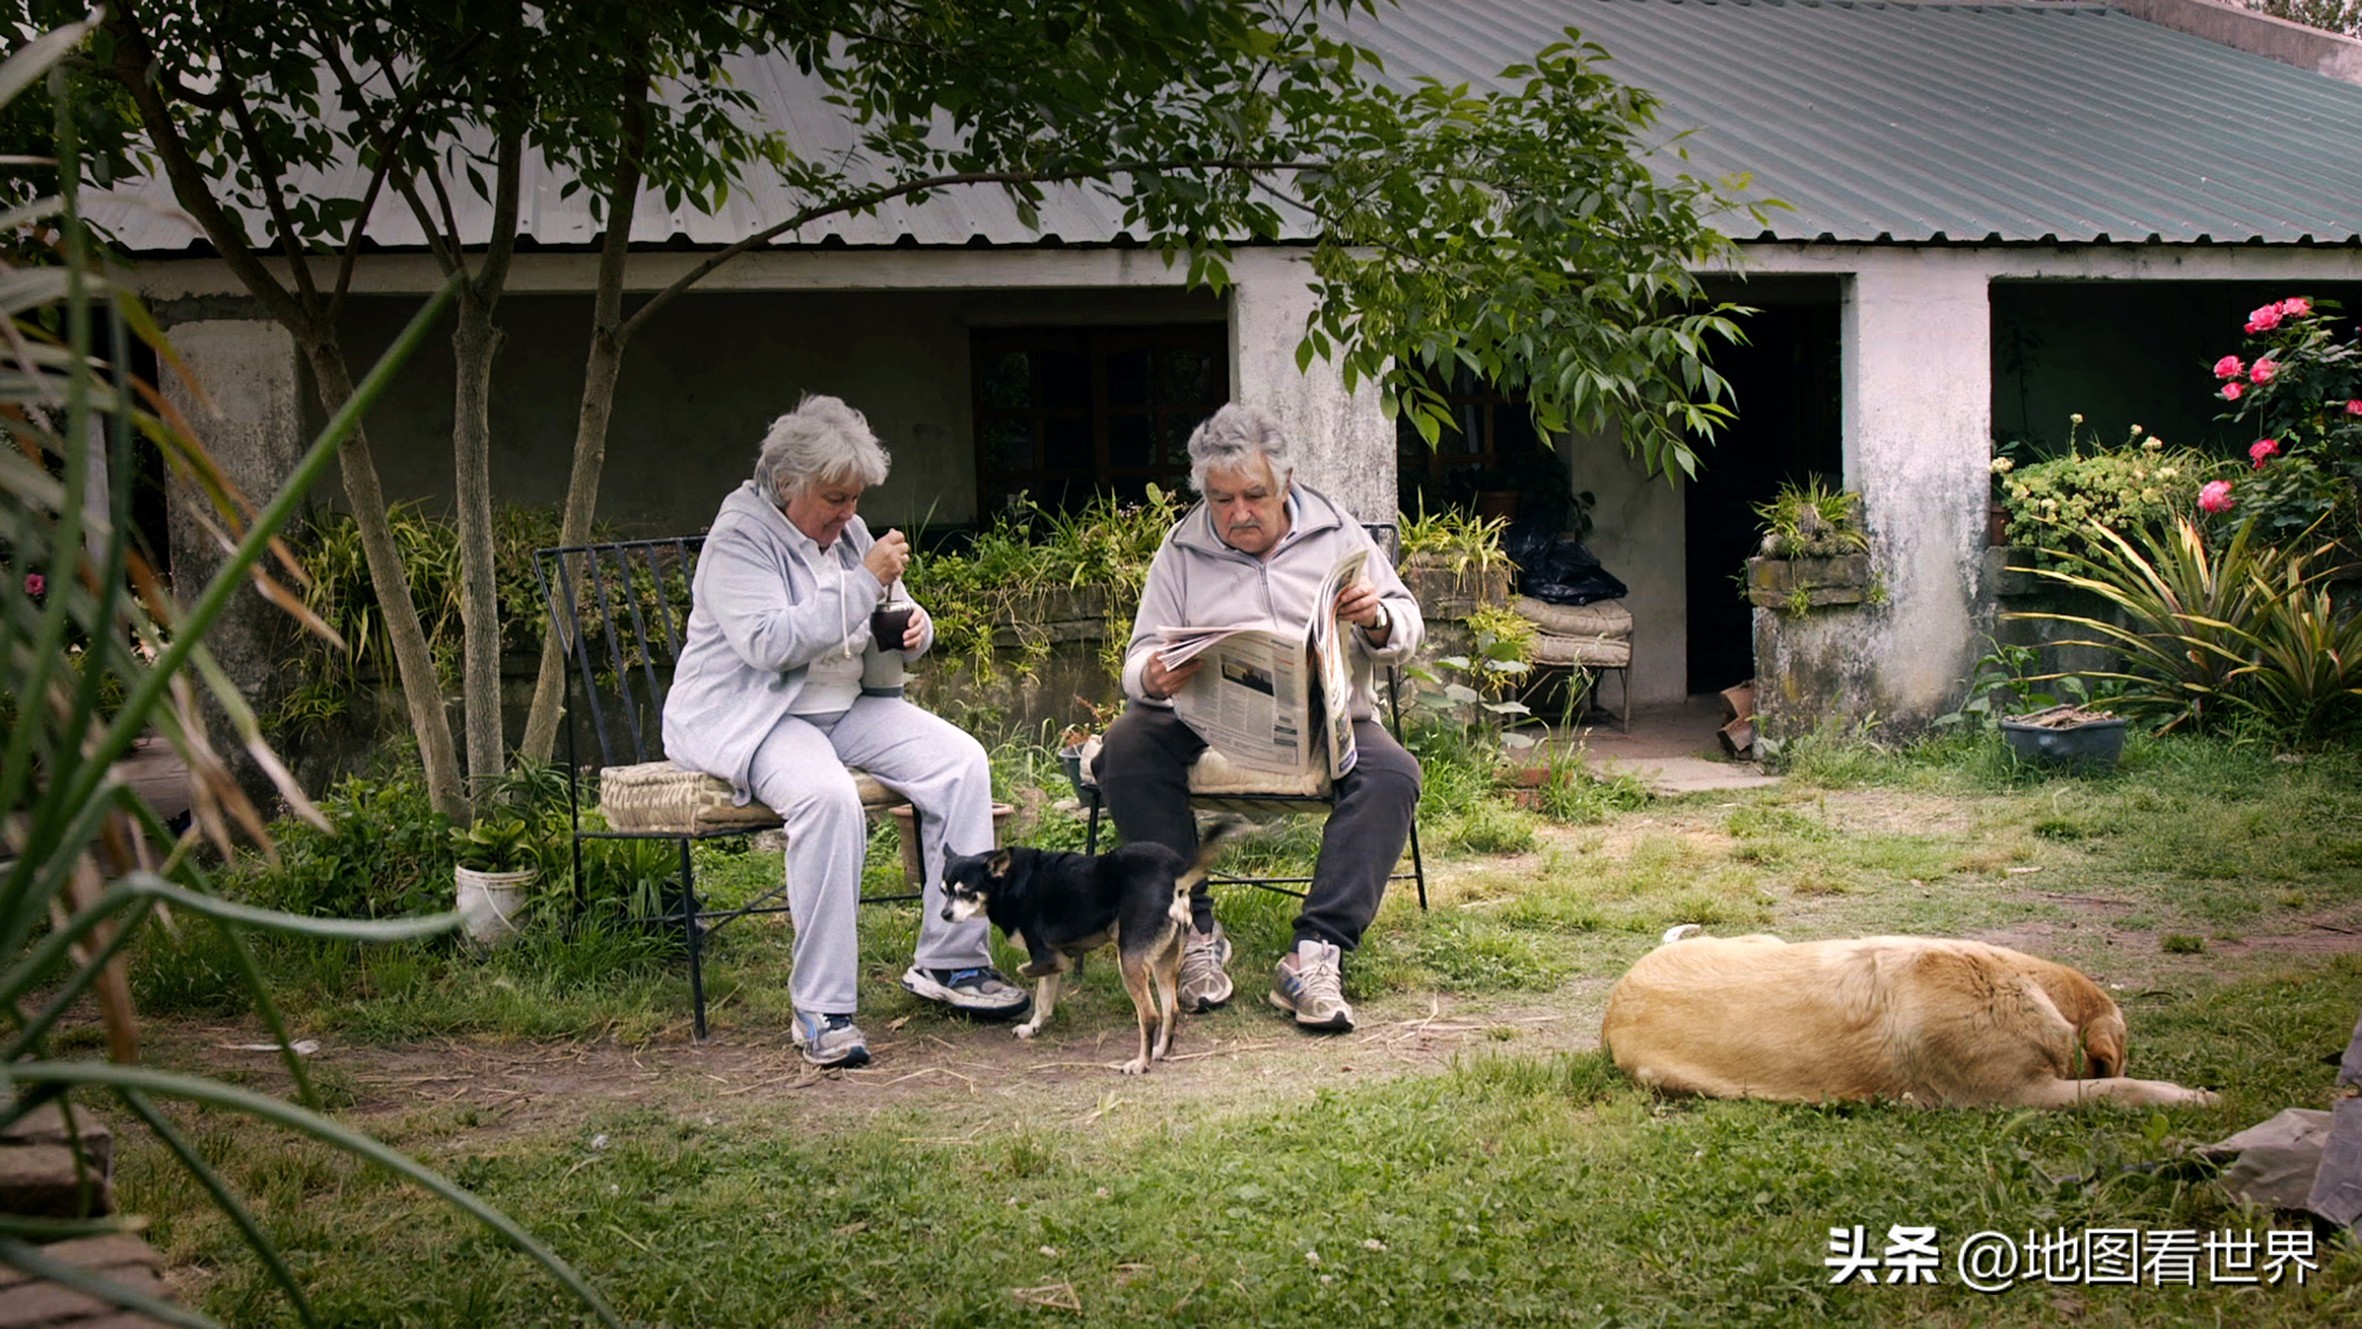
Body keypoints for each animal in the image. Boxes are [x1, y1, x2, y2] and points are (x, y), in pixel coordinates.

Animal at [935, 826, 1247, 1076]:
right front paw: (1032, 1029)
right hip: (1164, 961)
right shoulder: (1052, 965)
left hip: (1130, 960)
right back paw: (1159, 1052)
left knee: (1150, 1016)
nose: (944, 914)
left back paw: (1140, 1063)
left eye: (966, 892)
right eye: (943, 891)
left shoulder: (1048, 958)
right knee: (1171, 1010)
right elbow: (1044, 1002)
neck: (1008, 880)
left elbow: (1030, 974)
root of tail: (1174, 877)